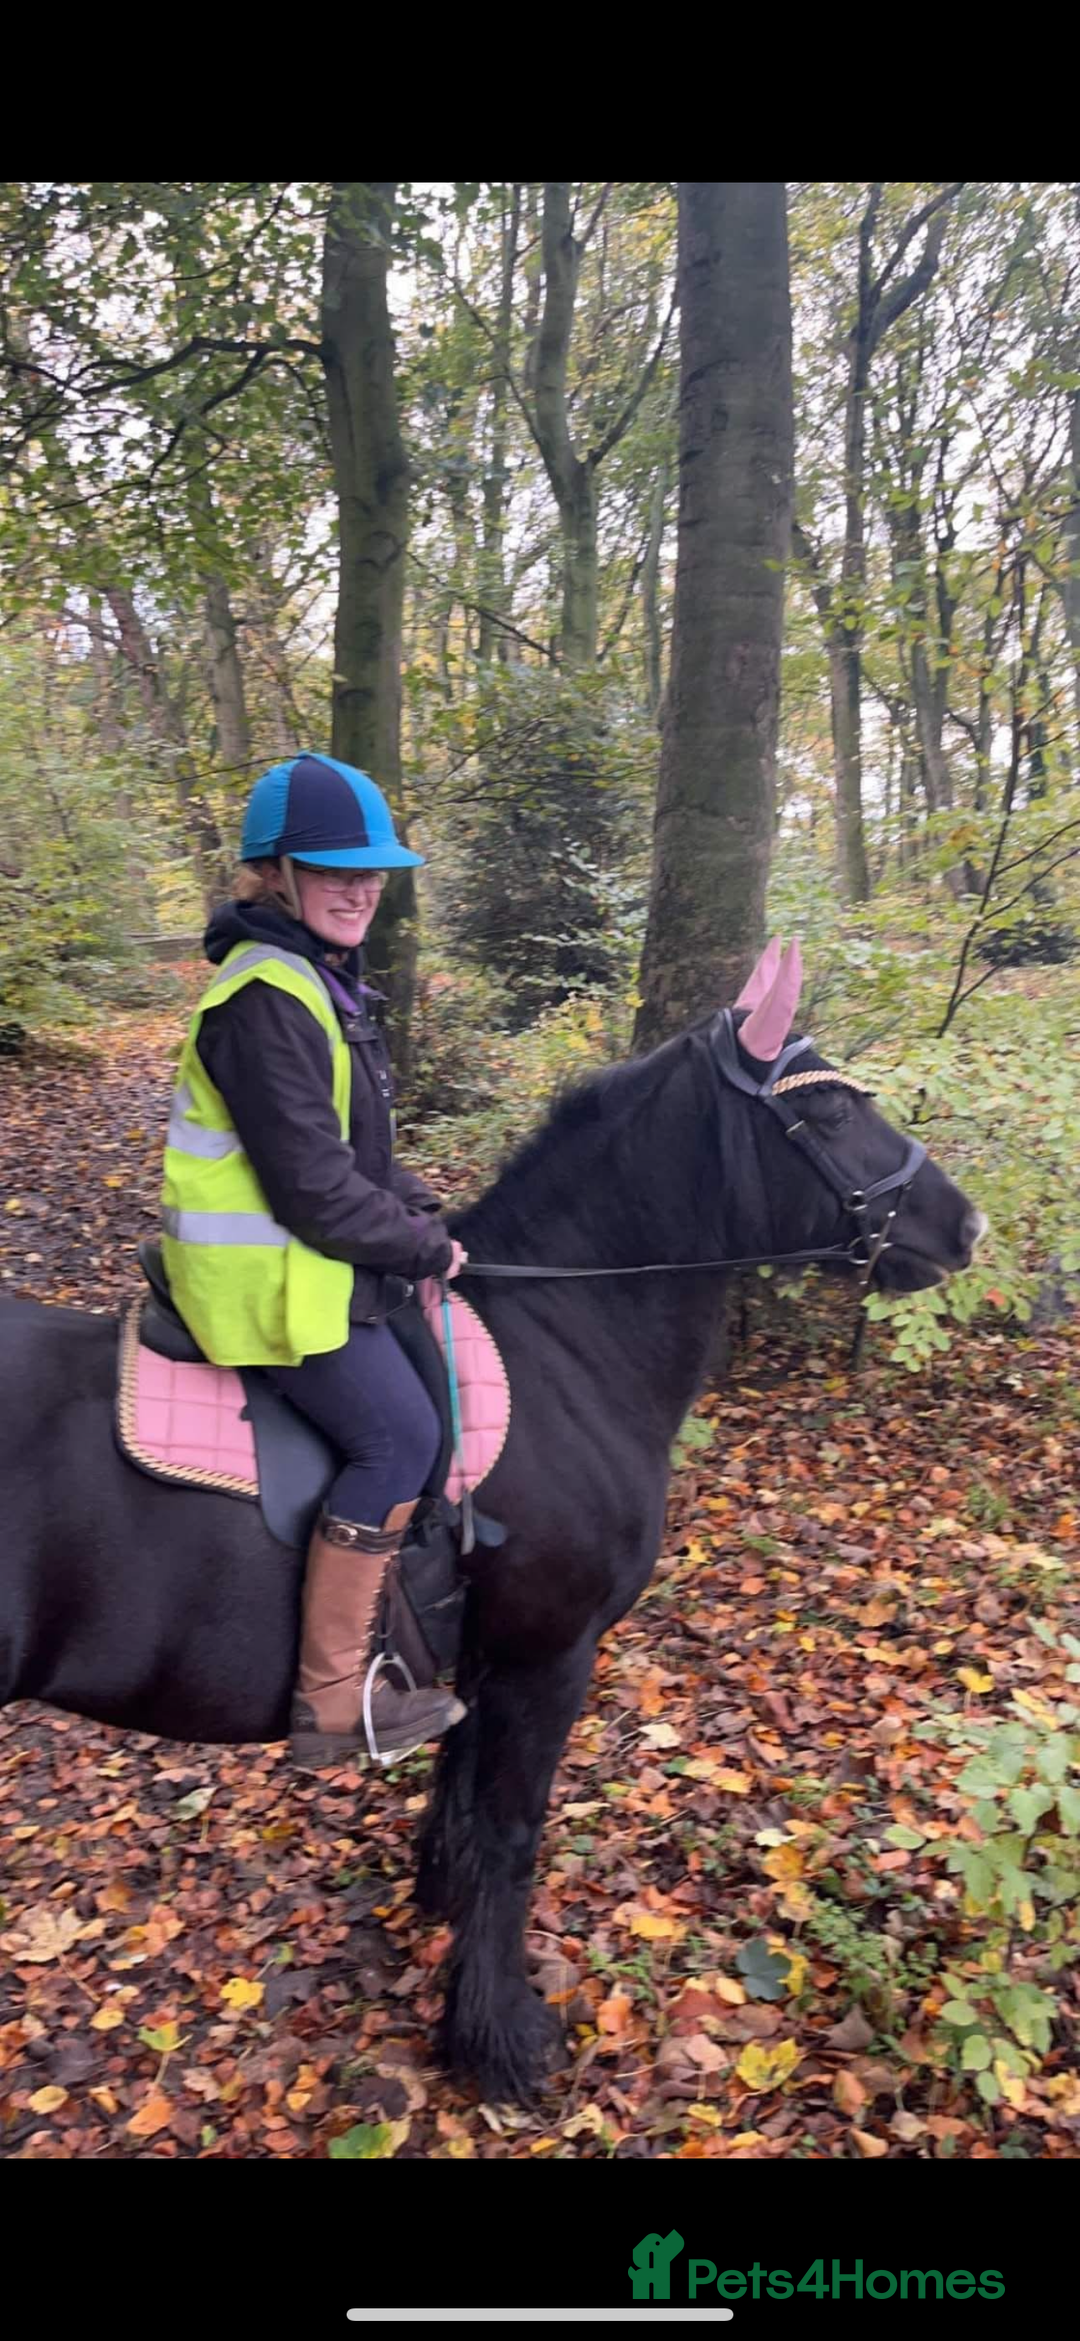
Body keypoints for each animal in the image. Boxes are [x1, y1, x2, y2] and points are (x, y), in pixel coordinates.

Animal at [0, 947, 984, 2102]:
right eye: (826, 1108)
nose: (964, 1226)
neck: (563, 1336)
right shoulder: (548, 1653)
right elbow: (512, 1830)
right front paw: (500, 2035)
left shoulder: (477, 1652)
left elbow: (461, 1797)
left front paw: (443, 1909)